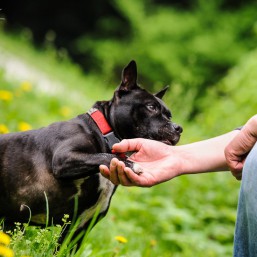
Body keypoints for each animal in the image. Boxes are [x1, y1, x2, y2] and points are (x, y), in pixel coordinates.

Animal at [0, 60, 182, 242]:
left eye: (170, 116)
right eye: (151, 107)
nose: (178, 128)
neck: (104, 132)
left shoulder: (80, 228)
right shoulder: (64, 159)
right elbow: (104, 156)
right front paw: (130, 164)